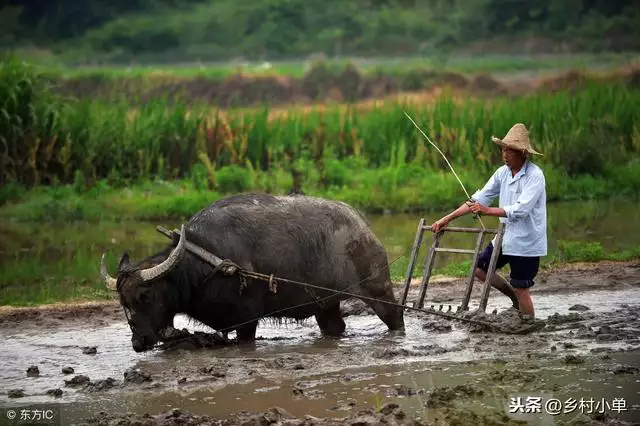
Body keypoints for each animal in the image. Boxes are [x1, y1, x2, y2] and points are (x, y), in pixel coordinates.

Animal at [100, 194, 404, 352]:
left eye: (144, 295)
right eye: (122, 301)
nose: (138, 342)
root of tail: (363, 227)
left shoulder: (247, 320)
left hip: (378, 290)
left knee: (396, 318)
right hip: (325, 304)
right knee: (335, 327)